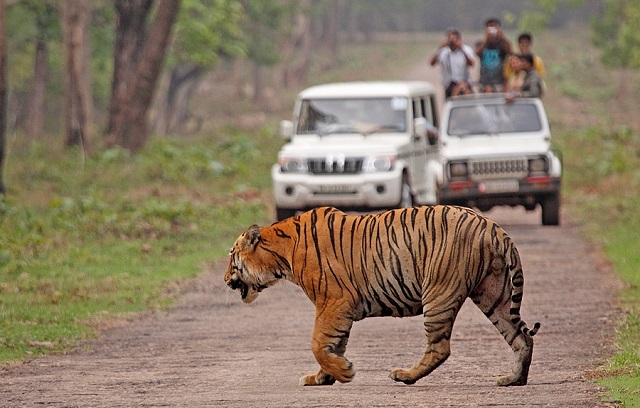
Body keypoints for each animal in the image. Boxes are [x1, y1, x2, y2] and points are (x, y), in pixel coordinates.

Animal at [224, 205, 540, 387]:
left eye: (231, 257)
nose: (225, 279)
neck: (281, 256)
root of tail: (493, 227)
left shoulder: (333, 302)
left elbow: (318, 343)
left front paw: (344, 373)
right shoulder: (338, 308)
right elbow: (333, 345)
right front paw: (323, 377)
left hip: (440, 292)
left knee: (440, 347)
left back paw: (405, 376)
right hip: (494, 295)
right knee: (521, 338)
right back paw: (514, 380)